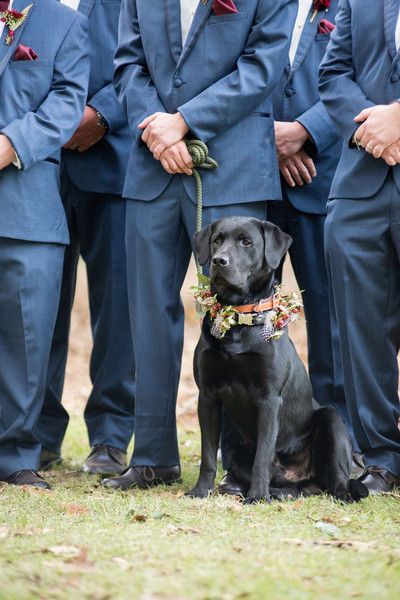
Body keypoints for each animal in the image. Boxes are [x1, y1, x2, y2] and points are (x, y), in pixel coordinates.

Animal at [188, 218, 368, 504]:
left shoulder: (269, 398)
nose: (218, 261)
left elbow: (263, 456)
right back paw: (276, 492)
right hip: (239, 451)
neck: (238, 319)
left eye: (246, 242)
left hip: (331, 420)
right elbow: (207, 454)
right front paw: (201, 490)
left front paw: (256, 497)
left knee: (336, 482)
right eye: (216, 240)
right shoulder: (207, 395)